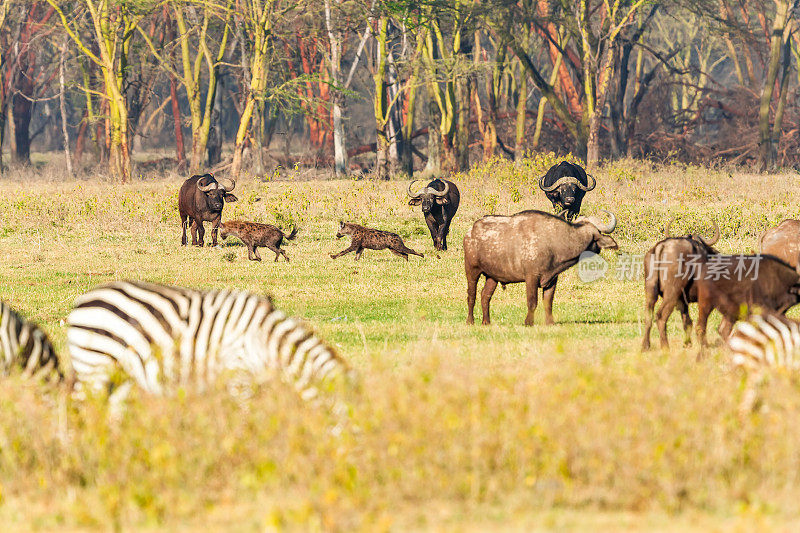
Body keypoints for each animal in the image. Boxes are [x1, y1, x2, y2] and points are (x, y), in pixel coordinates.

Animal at [462, 208, 620, 324]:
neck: (554, 242)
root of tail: (470, 231)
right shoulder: (532, 277)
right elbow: (532, 301)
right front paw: (528, 322)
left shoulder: (552, 279)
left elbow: (548, 302)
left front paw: (550, 322)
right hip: (471, 270)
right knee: (471, 295)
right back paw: (470, 321)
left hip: (492, 277)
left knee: (485, 295)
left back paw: (486, 322)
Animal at [640, 218, 720, 352]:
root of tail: (662, 246)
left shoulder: (683, 301)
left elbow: (687, 322)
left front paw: (687, 343)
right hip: (672, 293)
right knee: (660, 316)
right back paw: (665, 346)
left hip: (650, 291)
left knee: (648, 315)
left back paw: (646, 346)